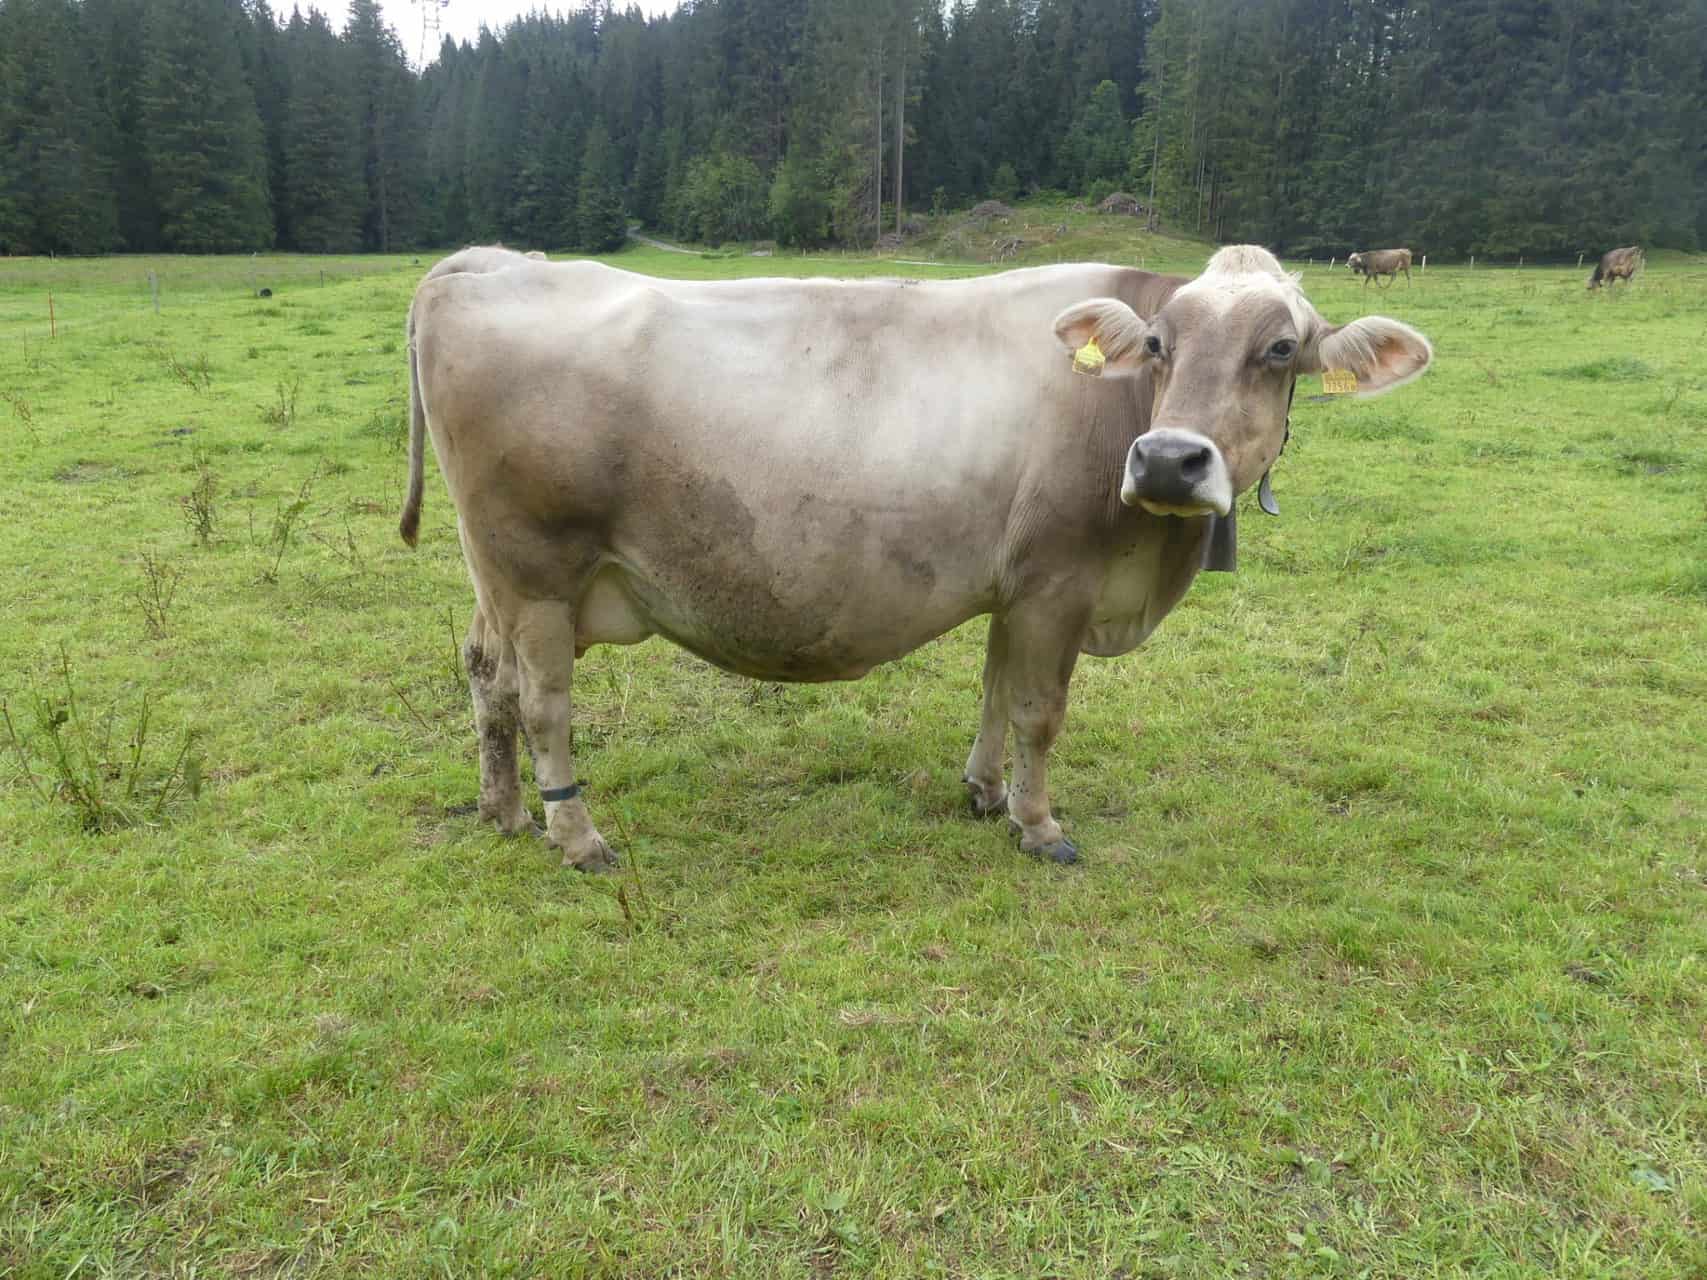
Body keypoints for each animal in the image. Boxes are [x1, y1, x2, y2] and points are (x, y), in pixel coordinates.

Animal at [399, 245, 1433, 870]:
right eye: (1156, 342)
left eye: (1280, 348)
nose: (1168, 460)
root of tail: (486, 262)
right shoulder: (1058, 581)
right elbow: (1038, 710)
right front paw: (1039, 826)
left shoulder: (1016, 585)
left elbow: (993, 691)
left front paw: (984, 792)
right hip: (536, 572)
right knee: (542, 700)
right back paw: (575, 834)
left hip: (495, 579)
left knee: (485, 674)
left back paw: (502, 811)